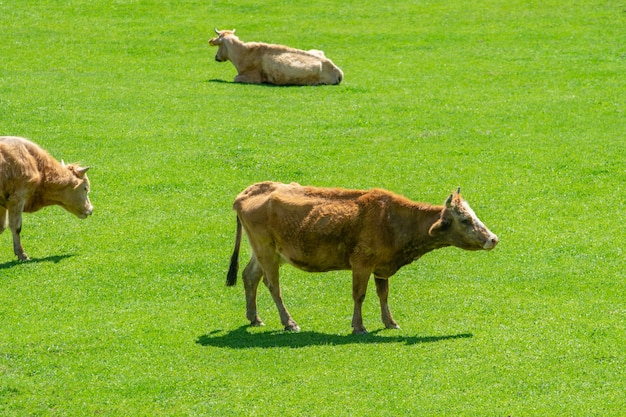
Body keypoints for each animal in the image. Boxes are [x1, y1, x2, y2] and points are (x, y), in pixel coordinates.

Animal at [207, 28, 342, 85]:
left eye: (219, 44)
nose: (216, 57)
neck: (243, 53)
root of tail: (337, 70)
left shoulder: (251, 77)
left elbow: (236, 78)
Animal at [225, 180, 498, 334]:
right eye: (465, 220)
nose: (493, 238)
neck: (393, 221)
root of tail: (246, 193)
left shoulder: (382, 266)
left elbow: (383, 294)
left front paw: (390, 322)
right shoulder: (361, 263)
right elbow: (360, 294)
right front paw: (358, 326)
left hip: (264, 252)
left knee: (250, 277)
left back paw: (254, 317)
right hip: (267, 251)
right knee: (273, 285)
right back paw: (289, 322)